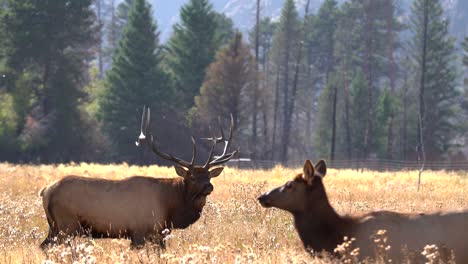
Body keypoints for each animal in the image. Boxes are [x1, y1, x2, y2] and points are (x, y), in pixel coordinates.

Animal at [38, 106, 238, 249]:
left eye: (209, 176)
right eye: (193, 177)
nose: (209, 187)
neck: (170, 207)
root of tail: (46, 191)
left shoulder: (159, 233)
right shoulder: (140, 231)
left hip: (54, 226)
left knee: (44, 246)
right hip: (67, 224)